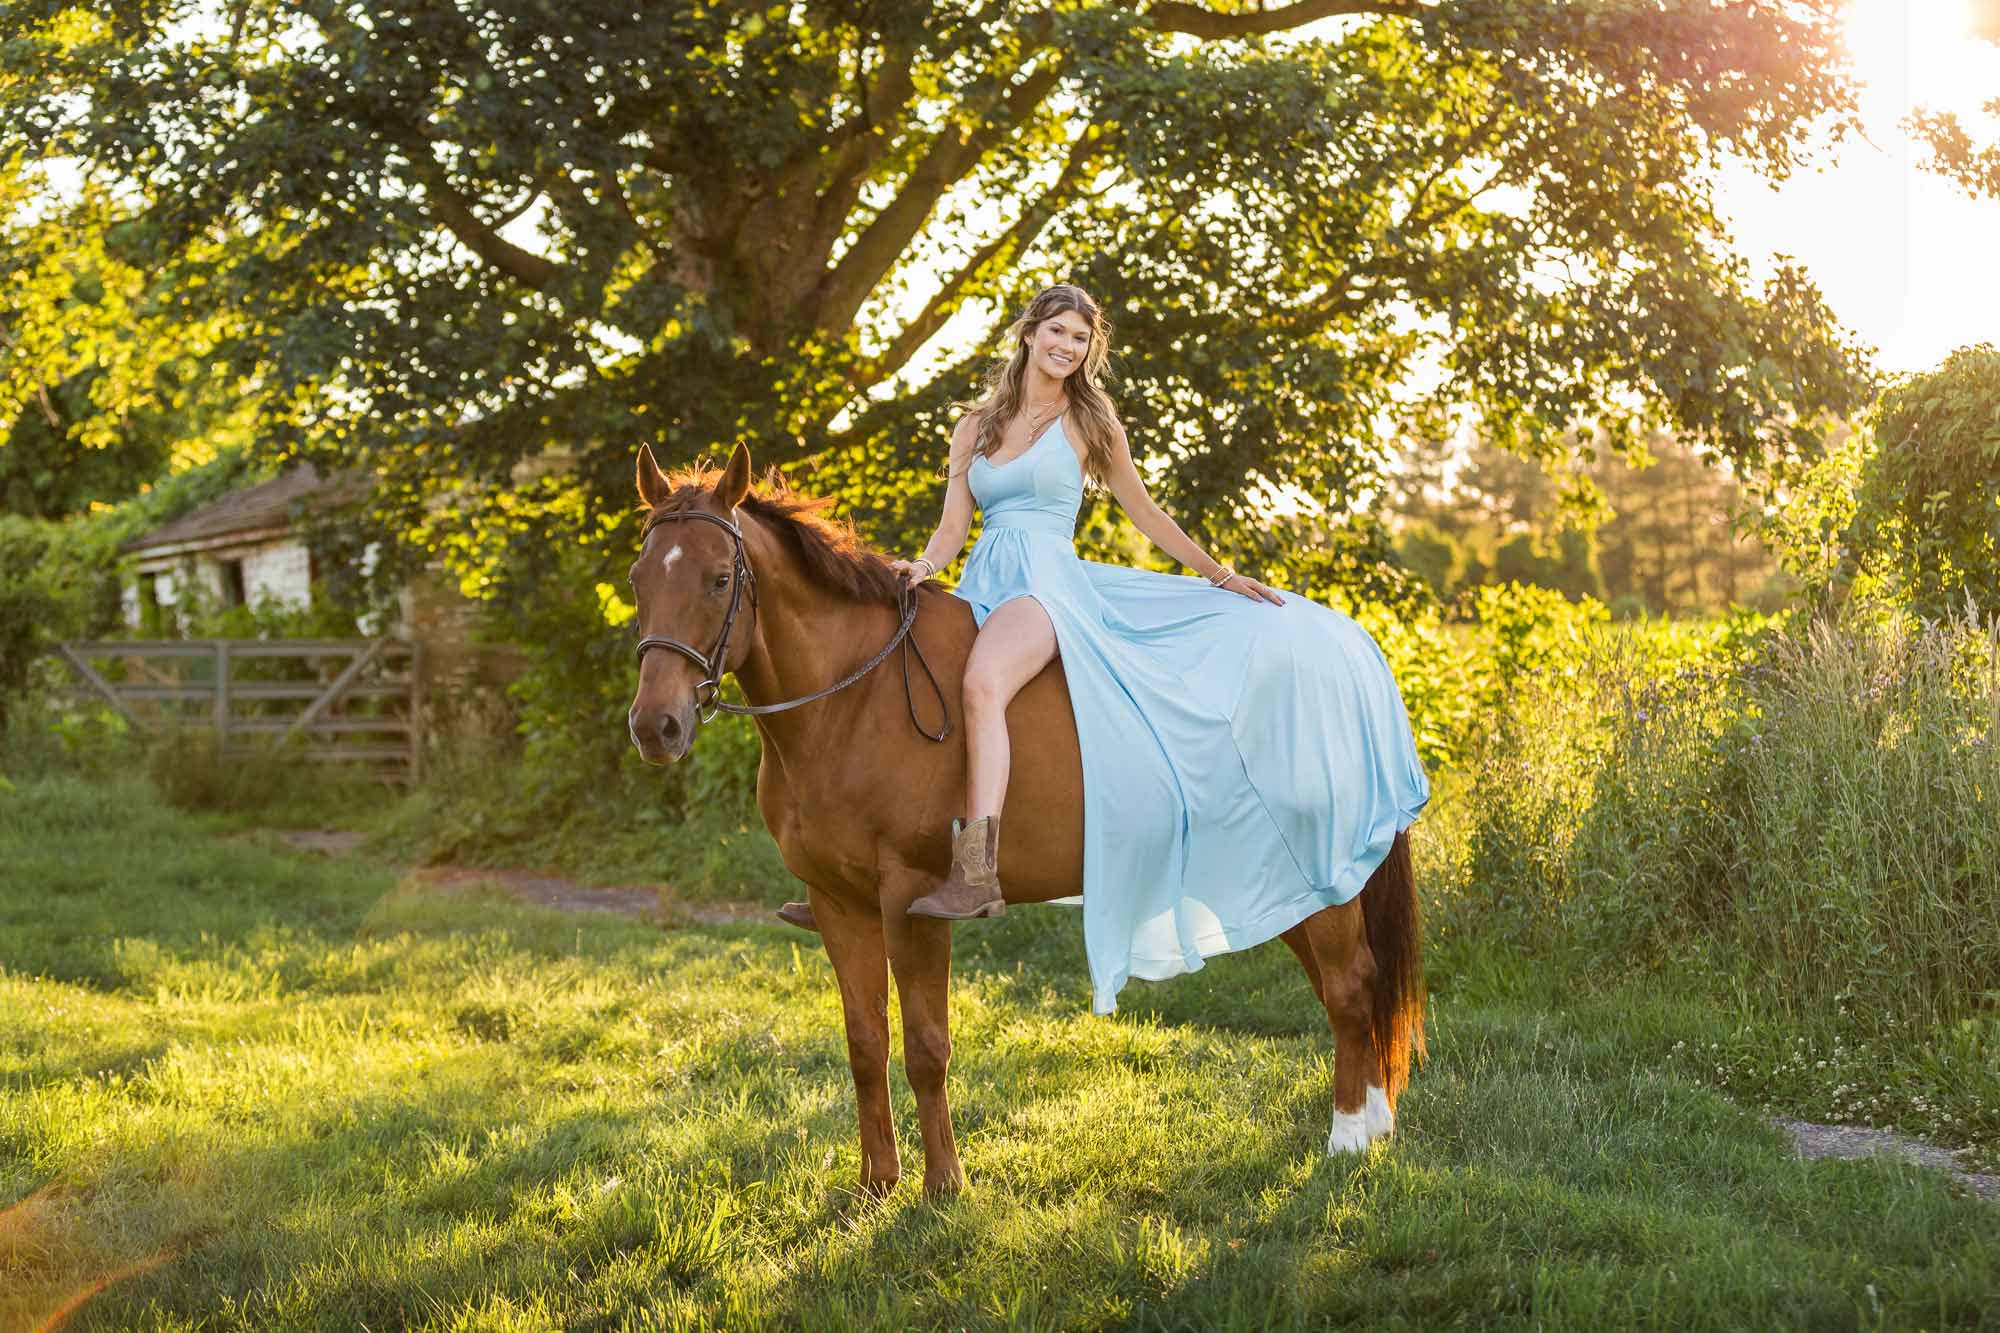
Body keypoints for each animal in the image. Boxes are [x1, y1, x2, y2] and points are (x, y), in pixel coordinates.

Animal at [624, 444, 1424, 1192]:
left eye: (719, 580)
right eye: (638, 579)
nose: (656, 726)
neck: (852, 699)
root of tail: (1352, 648)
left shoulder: (909, 900)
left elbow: (925, 1047)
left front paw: (943, 1185)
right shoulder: (837, 902)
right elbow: (865, 1045)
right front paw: (877, 1184)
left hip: (1320, 872)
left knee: (1350, 983)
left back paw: (1348, 1138)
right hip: (1280, 880)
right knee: (1344, 987)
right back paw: (1375, 1123)